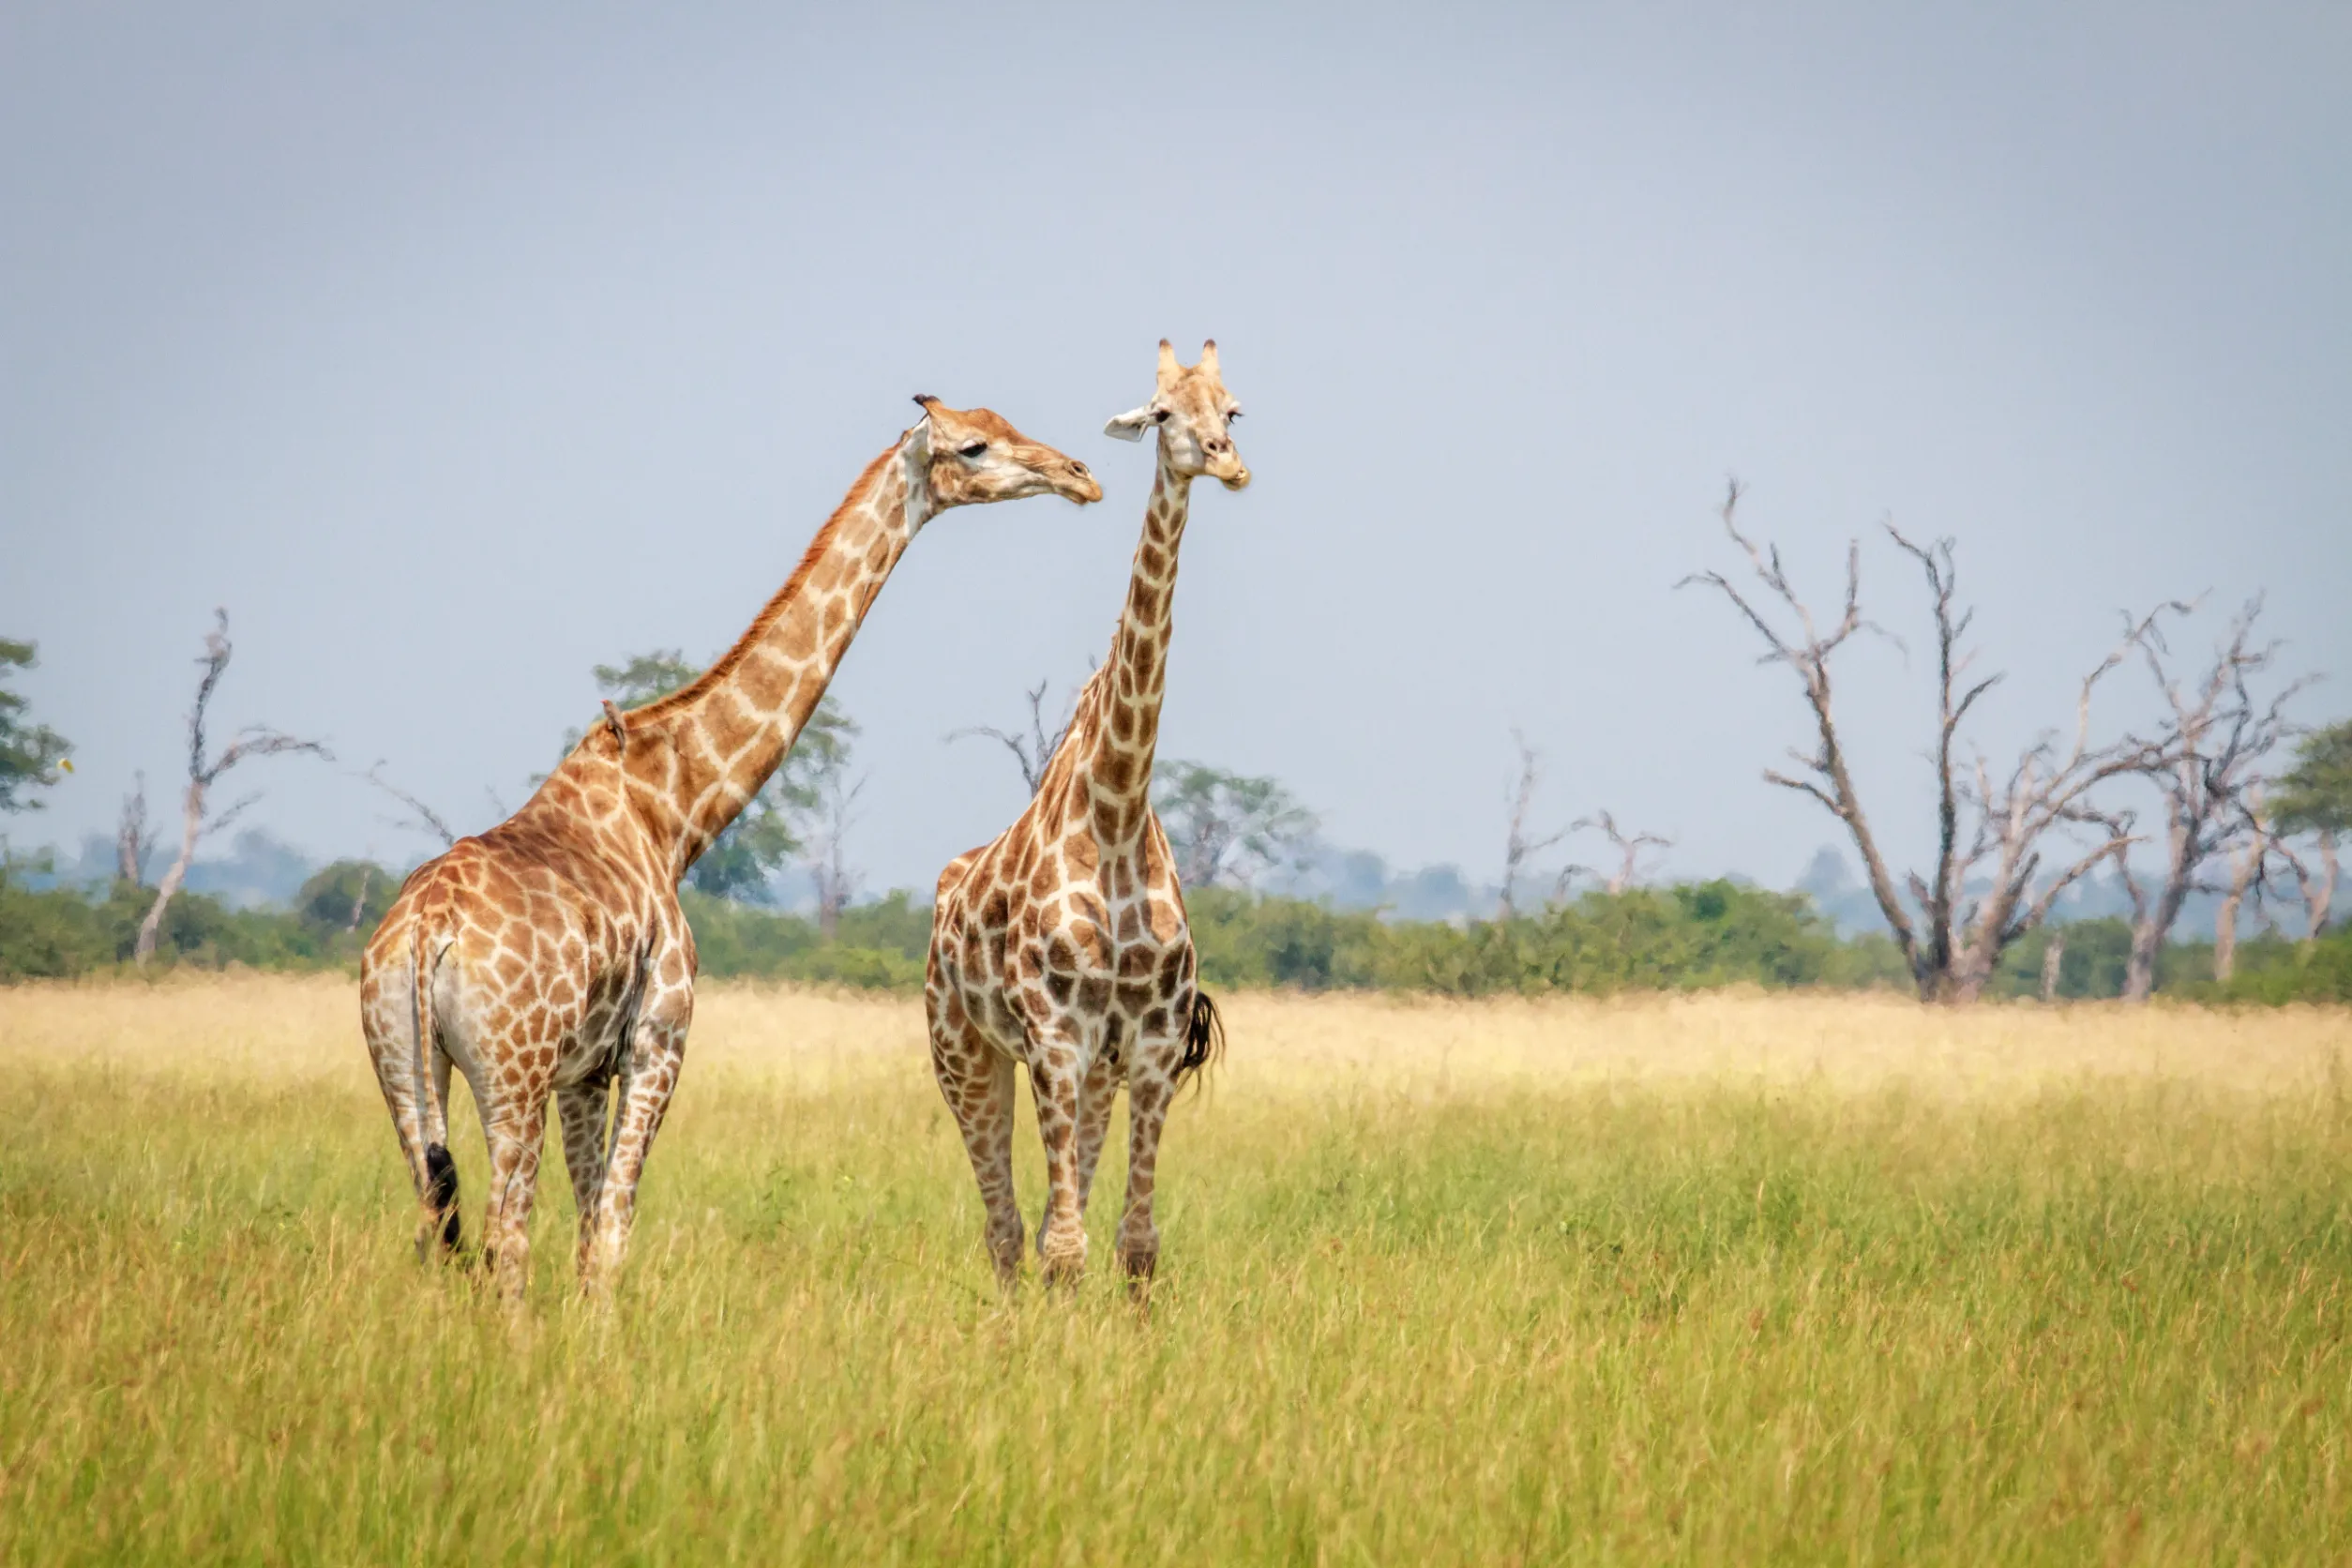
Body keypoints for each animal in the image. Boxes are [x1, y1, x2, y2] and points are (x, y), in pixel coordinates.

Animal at [360, 397, 1101, 1303]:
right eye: (974, 445)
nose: (1079, 475)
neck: (671, 810)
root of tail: (425, 932)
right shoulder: (657, 1039)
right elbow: (611, 1231)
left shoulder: (584, 1070)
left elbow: (588, 1227)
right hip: (510, 1073)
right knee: (504, 1234)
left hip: (404, 1064)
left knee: (438, 1228)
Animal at [925, 340, 1248, 1292]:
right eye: (1162, 413)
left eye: (1233, 409)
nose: (1226, 463)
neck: (1114, 813)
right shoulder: (1055, 1040)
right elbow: (1064, 1246)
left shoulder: (1147, 1049)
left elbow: (1133, 1245)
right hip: (966, 1052)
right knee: (1005, 1229)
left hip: (1090, 1075)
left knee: (1035, 1224)